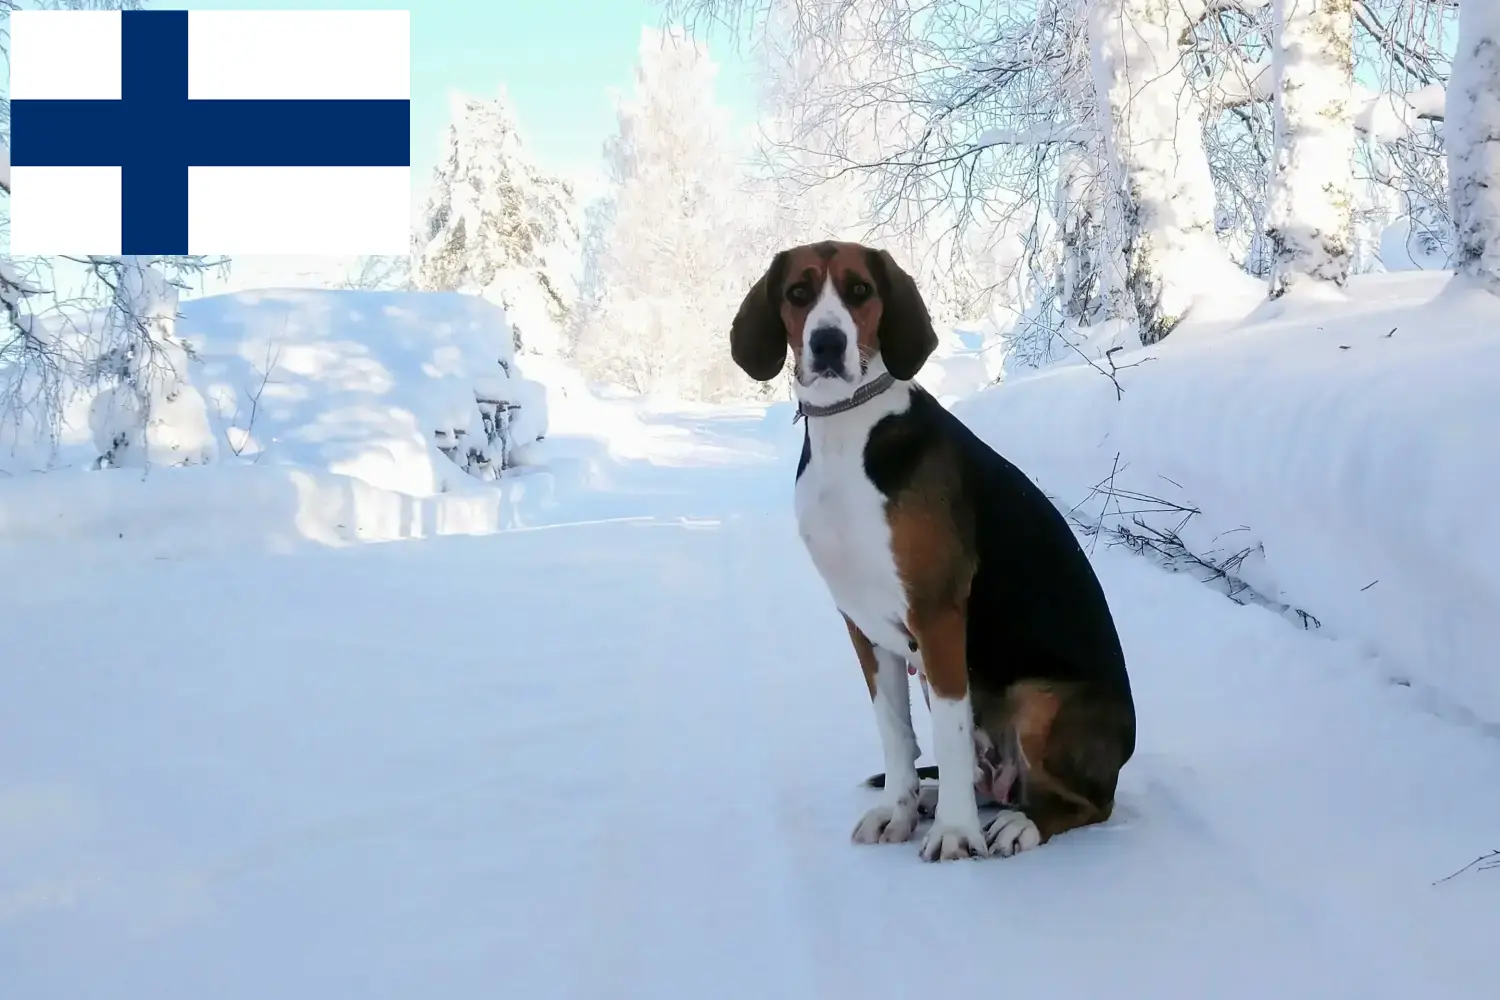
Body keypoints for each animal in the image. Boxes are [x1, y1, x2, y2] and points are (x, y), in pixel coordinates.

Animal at [729, 239, 1134, 863]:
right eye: (798, 292)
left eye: (860, 290)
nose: (827, 343)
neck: (849, 433)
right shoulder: (864, 625)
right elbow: (896, 732)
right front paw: (899, 812)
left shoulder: (938, 615)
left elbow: (949, 730)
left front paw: (955, 834)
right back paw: (931, 796)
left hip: (1038, 701)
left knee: (1087, 803)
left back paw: (1017, 824)